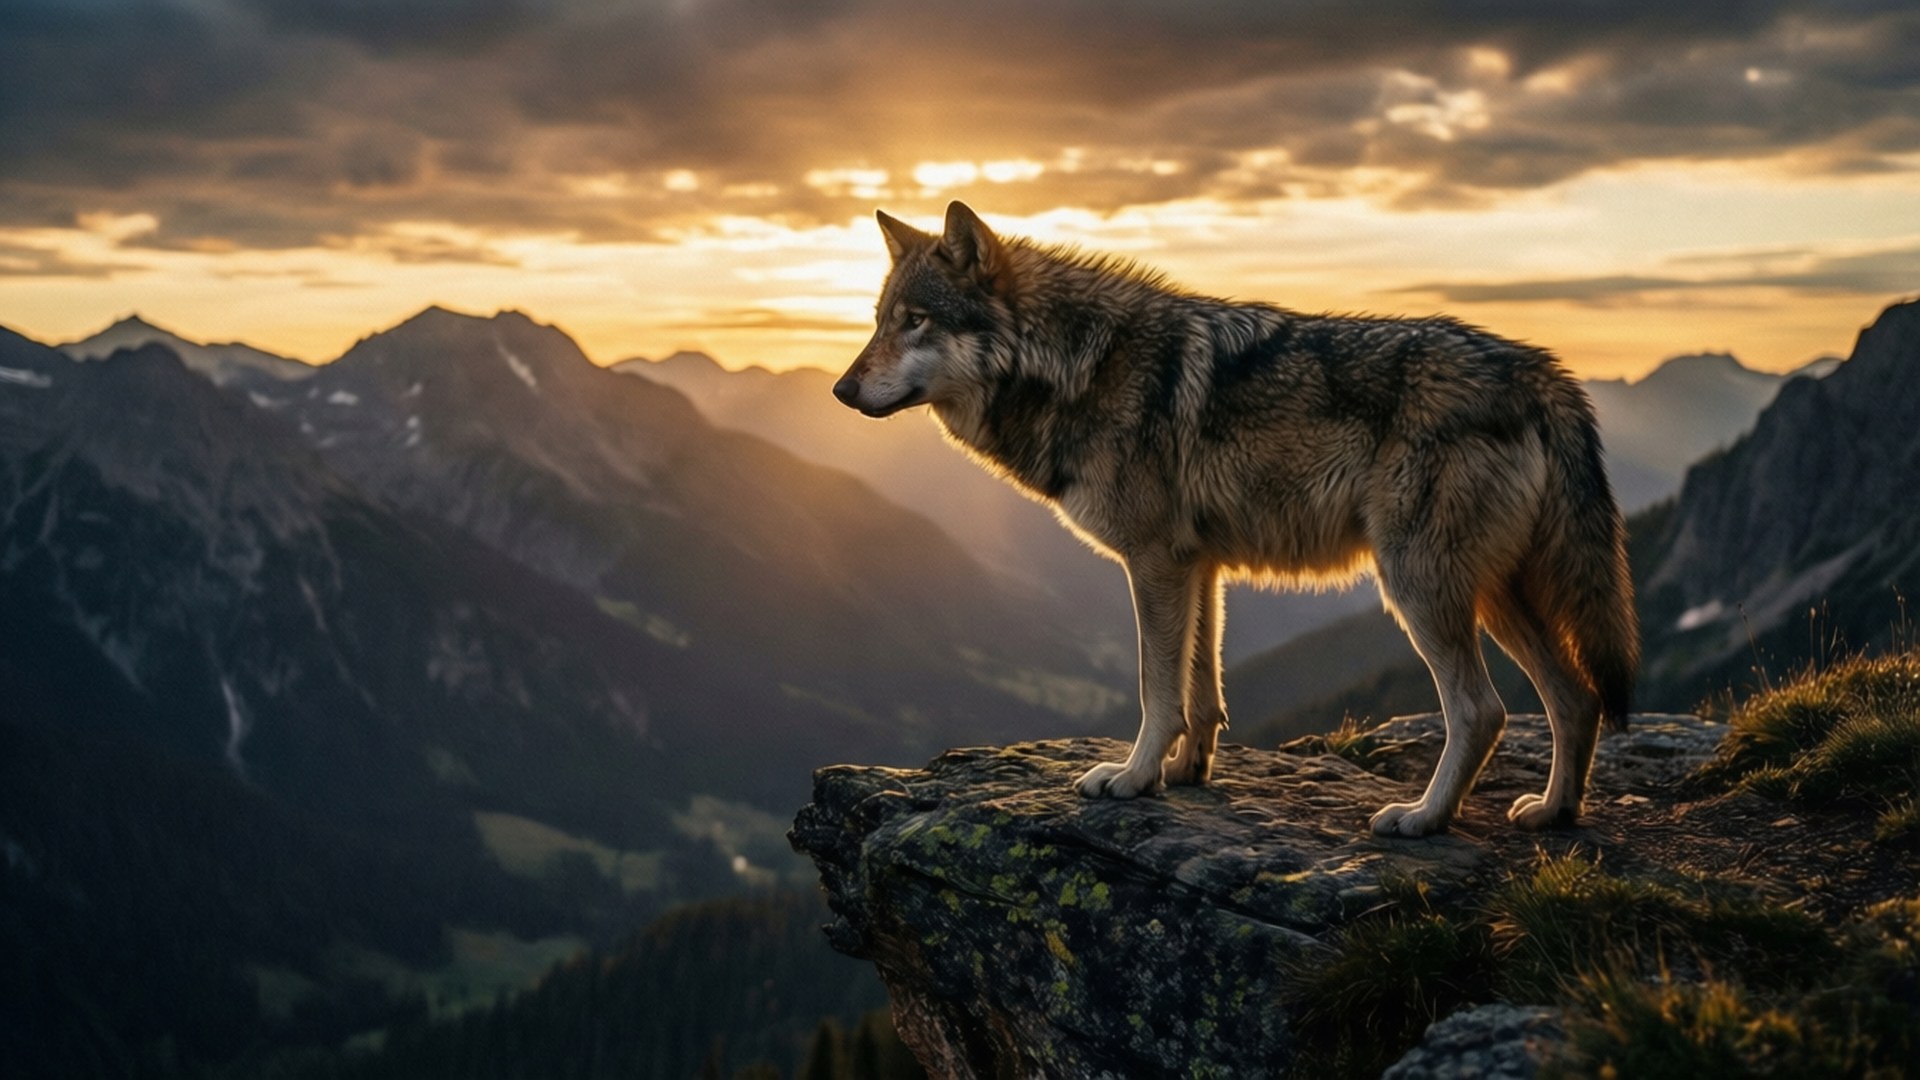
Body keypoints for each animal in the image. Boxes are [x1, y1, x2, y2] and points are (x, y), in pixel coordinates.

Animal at [832, 202, 1638, 836]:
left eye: (916, 322)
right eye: (876, 322)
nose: (840, 390)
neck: (1078, 366)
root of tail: (1542, 371)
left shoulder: (1153, 561)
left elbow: (1156, 689)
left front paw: (1131, 779)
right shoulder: (1199, 566)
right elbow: (1201, 688)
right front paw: (1186, 772)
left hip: (1420, 590)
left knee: (1482, 710)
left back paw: (1422, 819)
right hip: (1496, 595)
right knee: (1576, 697)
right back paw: (1554, 813)